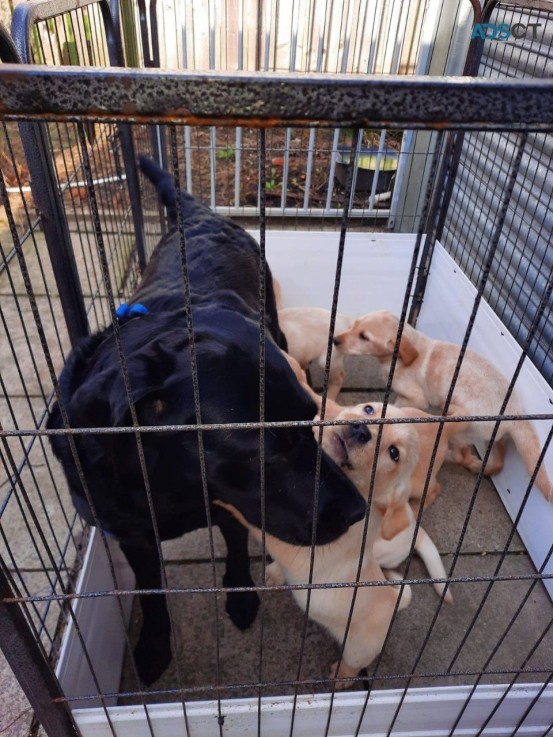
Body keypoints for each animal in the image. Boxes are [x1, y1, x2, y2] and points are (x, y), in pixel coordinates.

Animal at [48, 158, 366, 688]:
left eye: (310, 419)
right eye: (269, 448)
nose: (358, 511)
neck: (167, 482)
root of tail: (197, 212)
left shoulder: (230, 506)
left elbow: (236, 545)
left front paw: (240, 594)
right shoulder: (130, 531)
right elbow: (151, 592)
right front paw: (154, 646)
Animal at [332, 310, 552, 500]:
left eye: (364, 337)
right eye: (355, 325)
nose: (335, 340)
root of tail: (516, 413)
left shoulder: (415, 398)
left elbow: (399, 408)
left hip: (464, 431)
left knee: (461, 454)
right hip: (497, 438)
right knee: (497, 463)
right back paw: (480, 467)